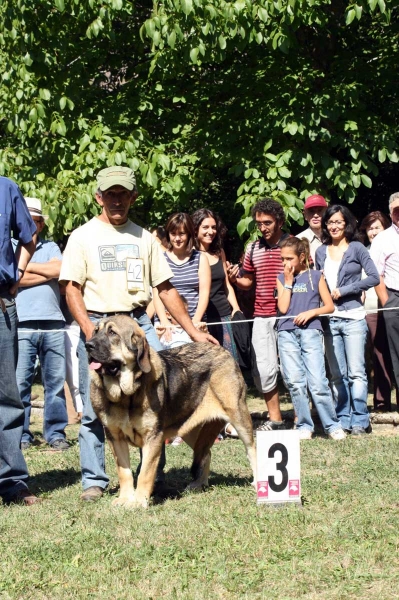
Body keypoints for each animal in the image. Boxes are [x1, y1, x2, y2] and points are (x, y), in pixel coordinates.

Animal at [86, 316, 258, 508]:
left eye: (112, 332)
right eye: (95, 331)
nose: (88, 345)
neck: (126, 394)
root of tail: (223, 351)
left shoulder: (153, 437)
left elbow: (145, 472)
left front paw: (139, 501)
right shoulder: (115, 438)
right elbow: (124, 472)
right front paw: (125, 498)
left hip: (239, 417)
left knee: (252, 450)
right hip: (189, 428)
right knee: (205, 452)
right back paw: (199, 483)